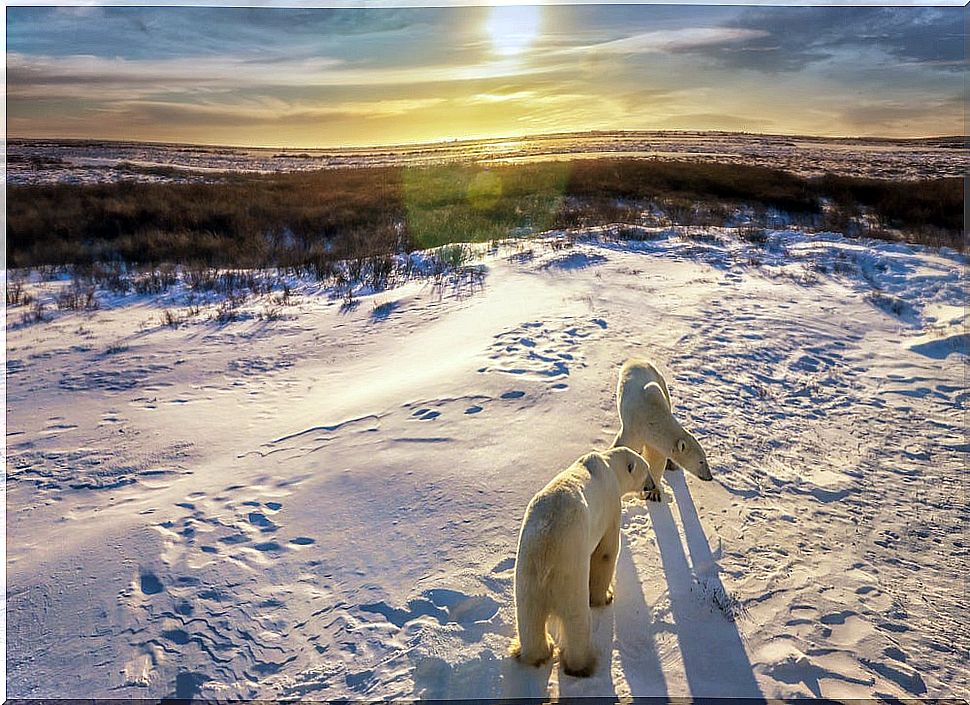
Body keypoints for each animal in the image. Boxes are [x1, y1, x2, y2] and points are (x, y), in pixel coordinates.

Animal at [506, 446, 652, 676]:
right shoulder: (611, 506)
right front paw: (605, 597)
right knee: (577, 620)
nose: (652, 486)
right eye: (647, 470)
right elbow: (606, 552)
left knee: (529, 618)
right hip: (569, 575)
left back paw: (535, 652)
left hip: (526, 577)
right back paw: (582, 664)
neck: (609, 465)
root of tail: (545, 557)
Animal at [612, 354, 712, 498]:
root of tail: (636, 358)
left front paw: (653, 493)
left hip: (661, 381)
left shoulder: (655, 440)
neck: (652, 417)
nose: (709, 477)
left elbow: (656, 459)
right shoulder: (633, 429)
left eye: (705, 458)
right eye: (701, 461)